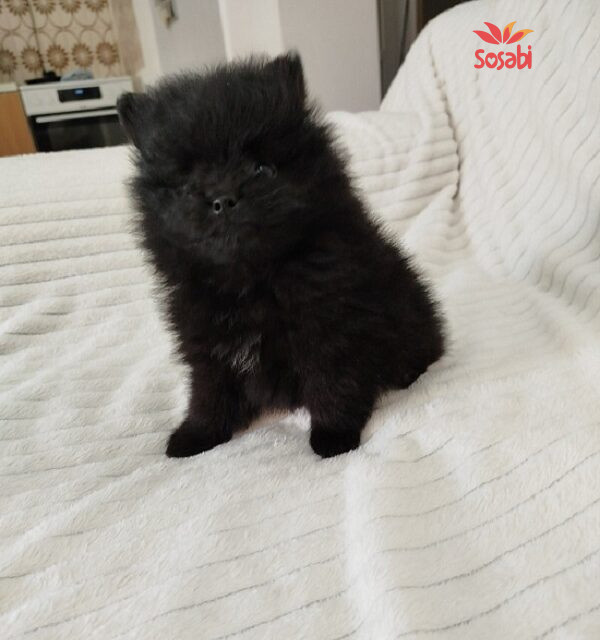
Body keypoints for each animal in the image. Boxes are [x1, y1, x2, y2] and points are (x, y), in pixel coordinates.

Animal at [117, 52, 445, 458]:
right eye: (188, 183)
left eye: (262, 169)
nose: (223, 198)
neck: (250, 281)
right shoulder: (206, 342)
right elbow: (209, 391)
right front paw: (197, 433)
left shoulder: (329, 330)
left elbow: (332, 382)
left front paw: (334, 435)